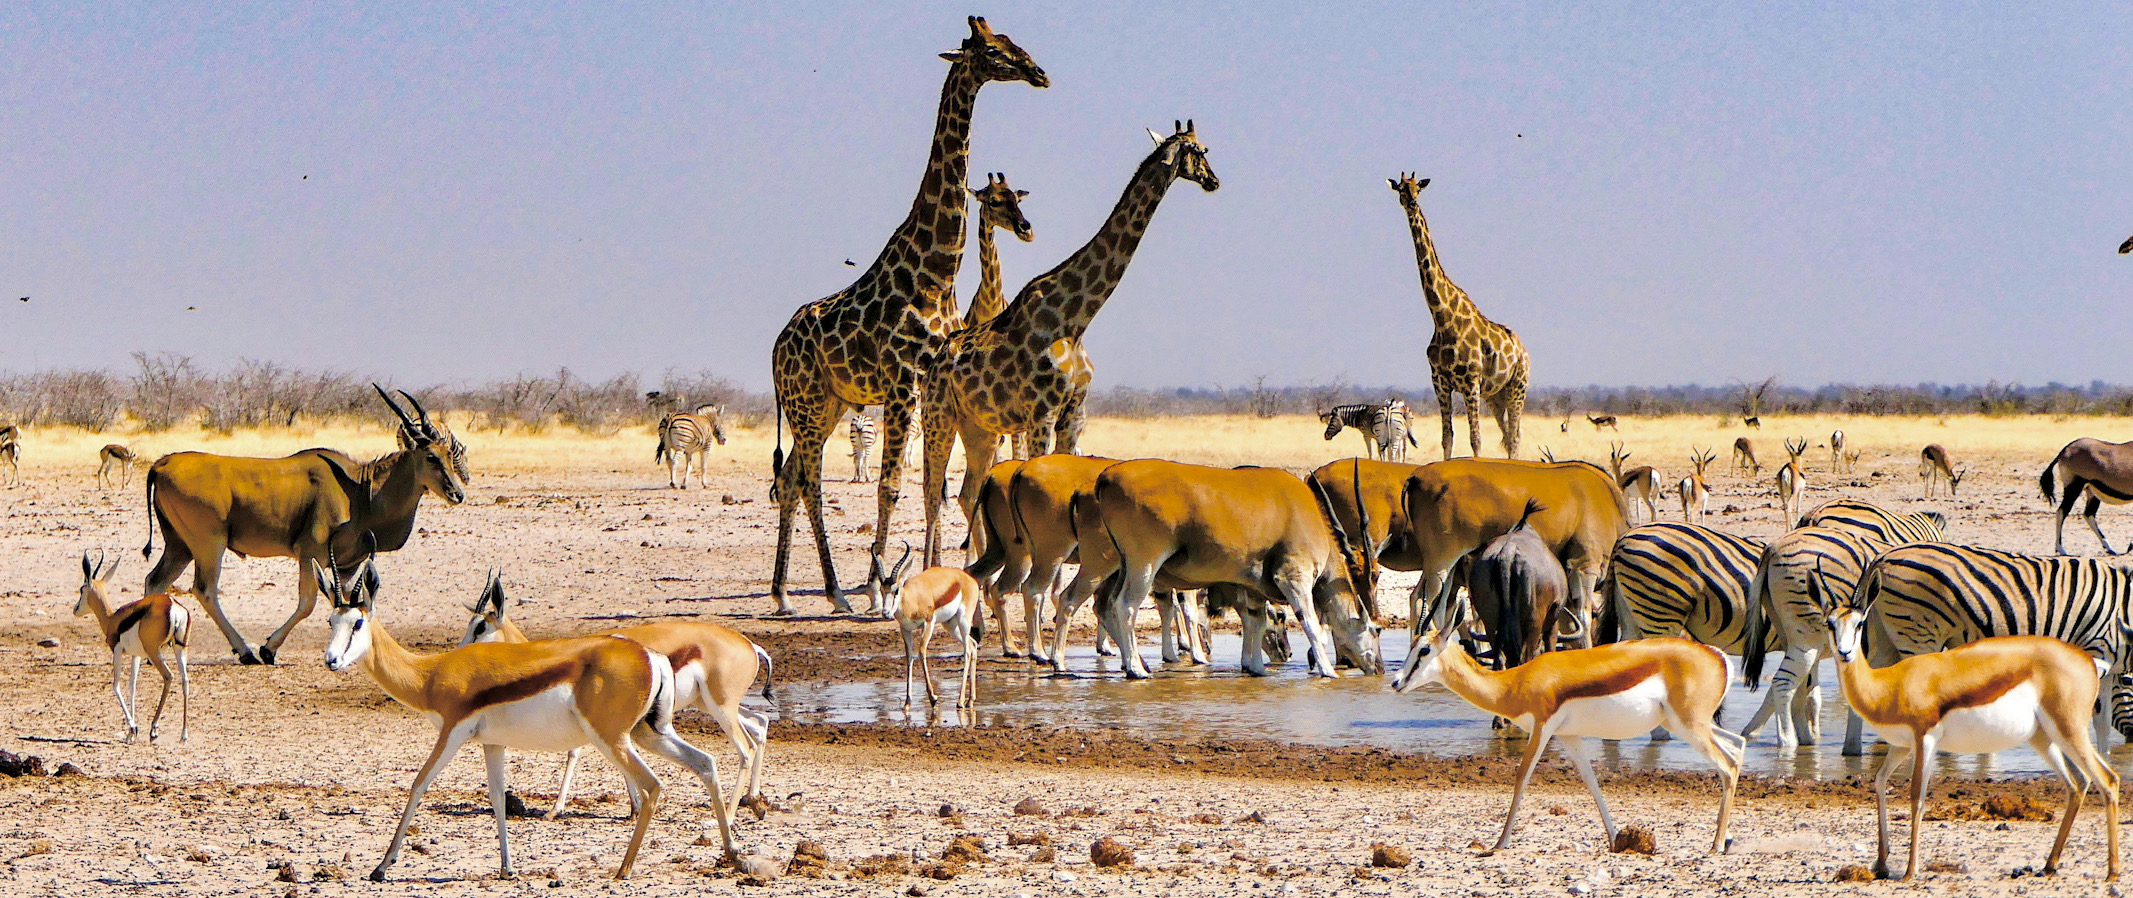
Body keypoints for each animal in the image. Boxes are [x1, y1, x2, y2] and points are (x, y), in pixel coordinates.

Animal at [767, 19, 1049, 614]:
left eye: (1011, 40)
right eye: (993, 50)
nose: (1039, 72)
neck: (936, 271)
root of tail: (775, 347)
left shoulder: (927, 383)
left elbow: (933, 486)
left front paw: (928, 575)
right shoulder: (901, 383)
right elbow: (891, 486)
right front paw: (879, 589)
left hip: (828, 403)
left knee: (794, 475)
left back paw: (784, 593)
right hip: (806, 403)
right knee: (808, 481)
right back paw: (834, 593)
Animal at [925, 122, 1228, 563]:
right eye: (1199, 150)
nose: (1214, 181)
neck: (1076, 319)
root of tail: (933, 364)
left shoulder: (1074, 416)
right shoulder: (1040, 415)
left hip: (979, 428)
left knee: (966, 492)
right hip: (939, 417)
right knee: (933, 496)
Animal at [1390, 171, 1527, 458]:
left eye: (1418, 188)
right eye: (1401, 189)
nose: (1412, 203)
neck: (1441, 317)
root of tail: (1523, 350)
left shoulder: (1470, 382)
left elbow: (1475, 439)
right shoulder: (1440, 382)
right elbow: (1447, 437)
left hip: (1518, 387)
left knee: (1515, 436)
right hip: (1495, 396)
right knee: (1508, 436)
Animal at [1731, 496, 1953, 750]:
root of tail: (1773, 547)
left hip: (1793, 635)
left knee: (1796, 688)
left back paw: (1802, 742)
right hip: (1807, 638)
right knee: (1783, 683)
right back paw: (1787, 743)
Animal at [1834, 541, 2133, 750]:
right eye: (2130, 683)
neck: (2122, 611)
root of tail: (1881, 558)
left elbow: (2102, 723)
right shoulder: (2093, 649)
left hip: (1884, 636)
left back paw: (1852, 753)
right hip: (1916, 633)